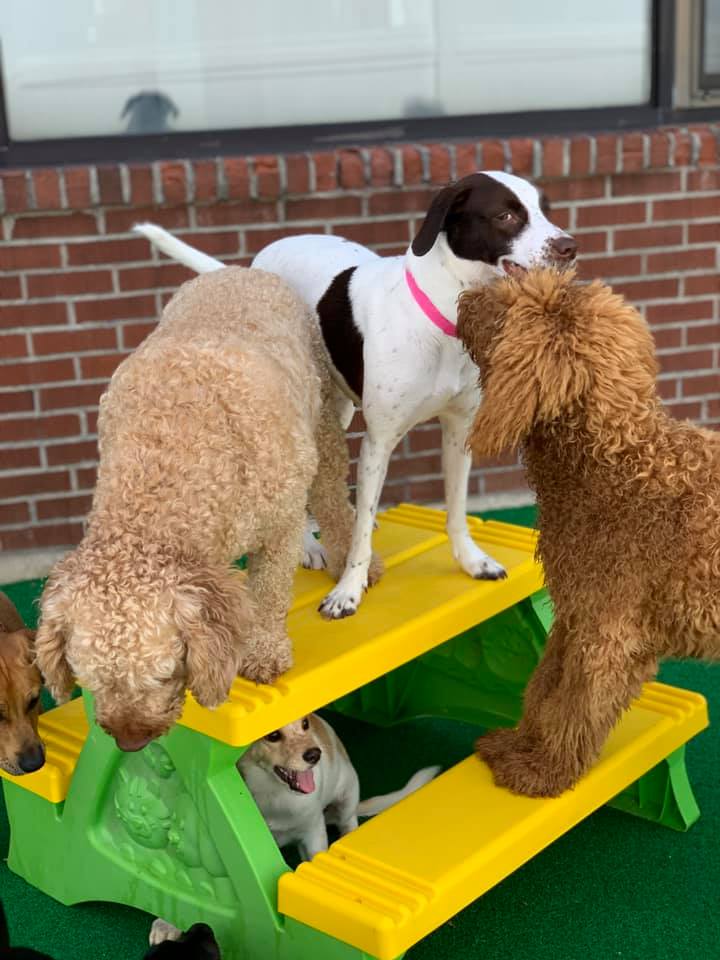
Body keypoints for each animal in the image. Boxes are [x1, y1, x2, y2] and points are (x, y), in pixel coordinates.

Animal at [36, 266, 358, 752]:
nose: (130, 743)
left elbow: (268, 595)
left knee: (333, 498)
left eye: (162, 675)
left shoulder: (279, 526)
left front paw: (264, 652)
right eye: (92, 682)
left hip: (320, 420)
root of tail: (241, 270)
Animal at [135, 170, 576, 620]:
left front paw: (471, 560)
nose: (569, 247)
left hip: (341, 407)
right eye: (506, 215)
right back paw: (309, 546)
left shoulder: (458, 430)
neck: (439, 318)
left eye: (545, 210)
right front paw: (348, 589)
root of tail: (257, 263)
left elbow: (455, 508)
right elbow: (361, 532)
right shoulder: (378, 442)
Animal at [458, 266, 720, 800]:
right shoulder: (576, 611)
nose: (464, 296)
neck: (619, 467)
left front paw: (543, 773)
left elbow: (575, 707)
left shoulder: (608, 633)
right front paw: (519, 744)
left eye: (504, 308)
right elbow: (543, 686)